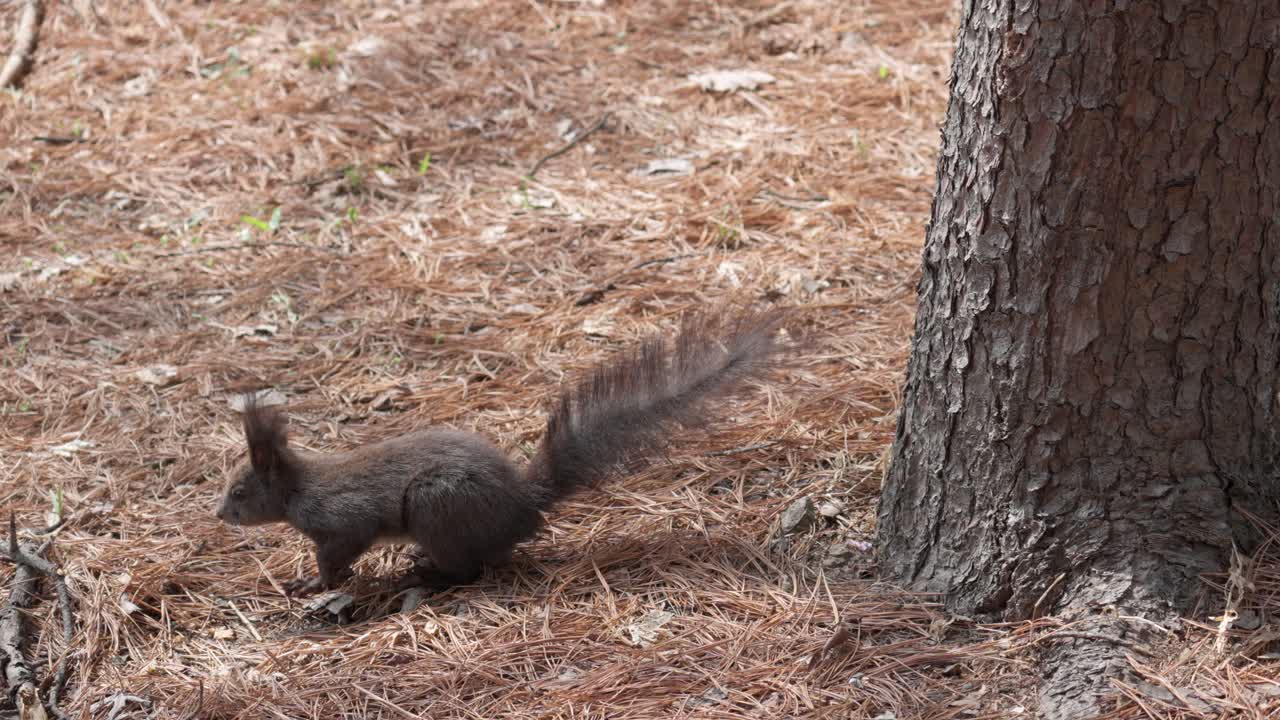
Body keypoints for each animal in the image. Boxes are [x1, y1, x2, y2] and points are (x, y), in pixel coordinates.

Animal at [214, 308, 789, 596]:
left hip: (437, 507)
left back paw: (426, 574)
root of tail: (523, 506)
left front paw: (314, 583)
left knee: (470, 569)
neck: (300, 486)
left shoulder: (341, 520)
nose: (219, 515)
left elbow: (337, 554)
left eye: (239, 491)